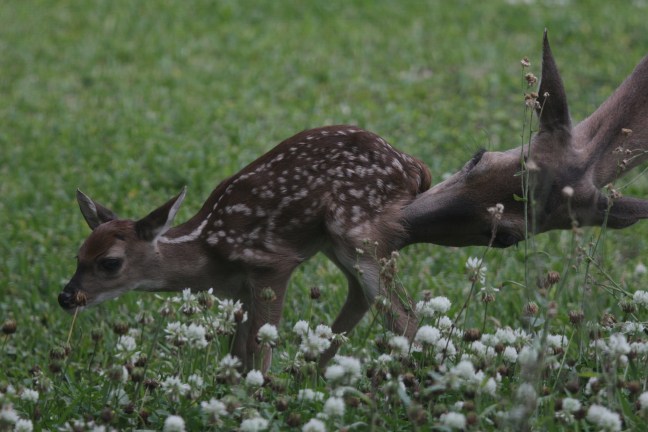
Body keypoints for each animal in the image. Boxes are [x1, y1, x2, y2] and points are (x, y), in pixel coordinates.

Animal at [59, 31, 648, 370]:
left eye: (110, 263)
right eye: (79, 254)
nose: (67, 297)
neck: (205, 251)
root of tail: (413, 166)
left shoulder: (270, 263)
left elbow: (258, 350)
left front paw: (253, 394)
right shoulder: (242, 286)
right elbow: (240, 348)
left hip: (355, 229)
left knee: (401, 315)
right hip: (341, 240)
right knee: (372, 305)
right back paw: (318, 372)